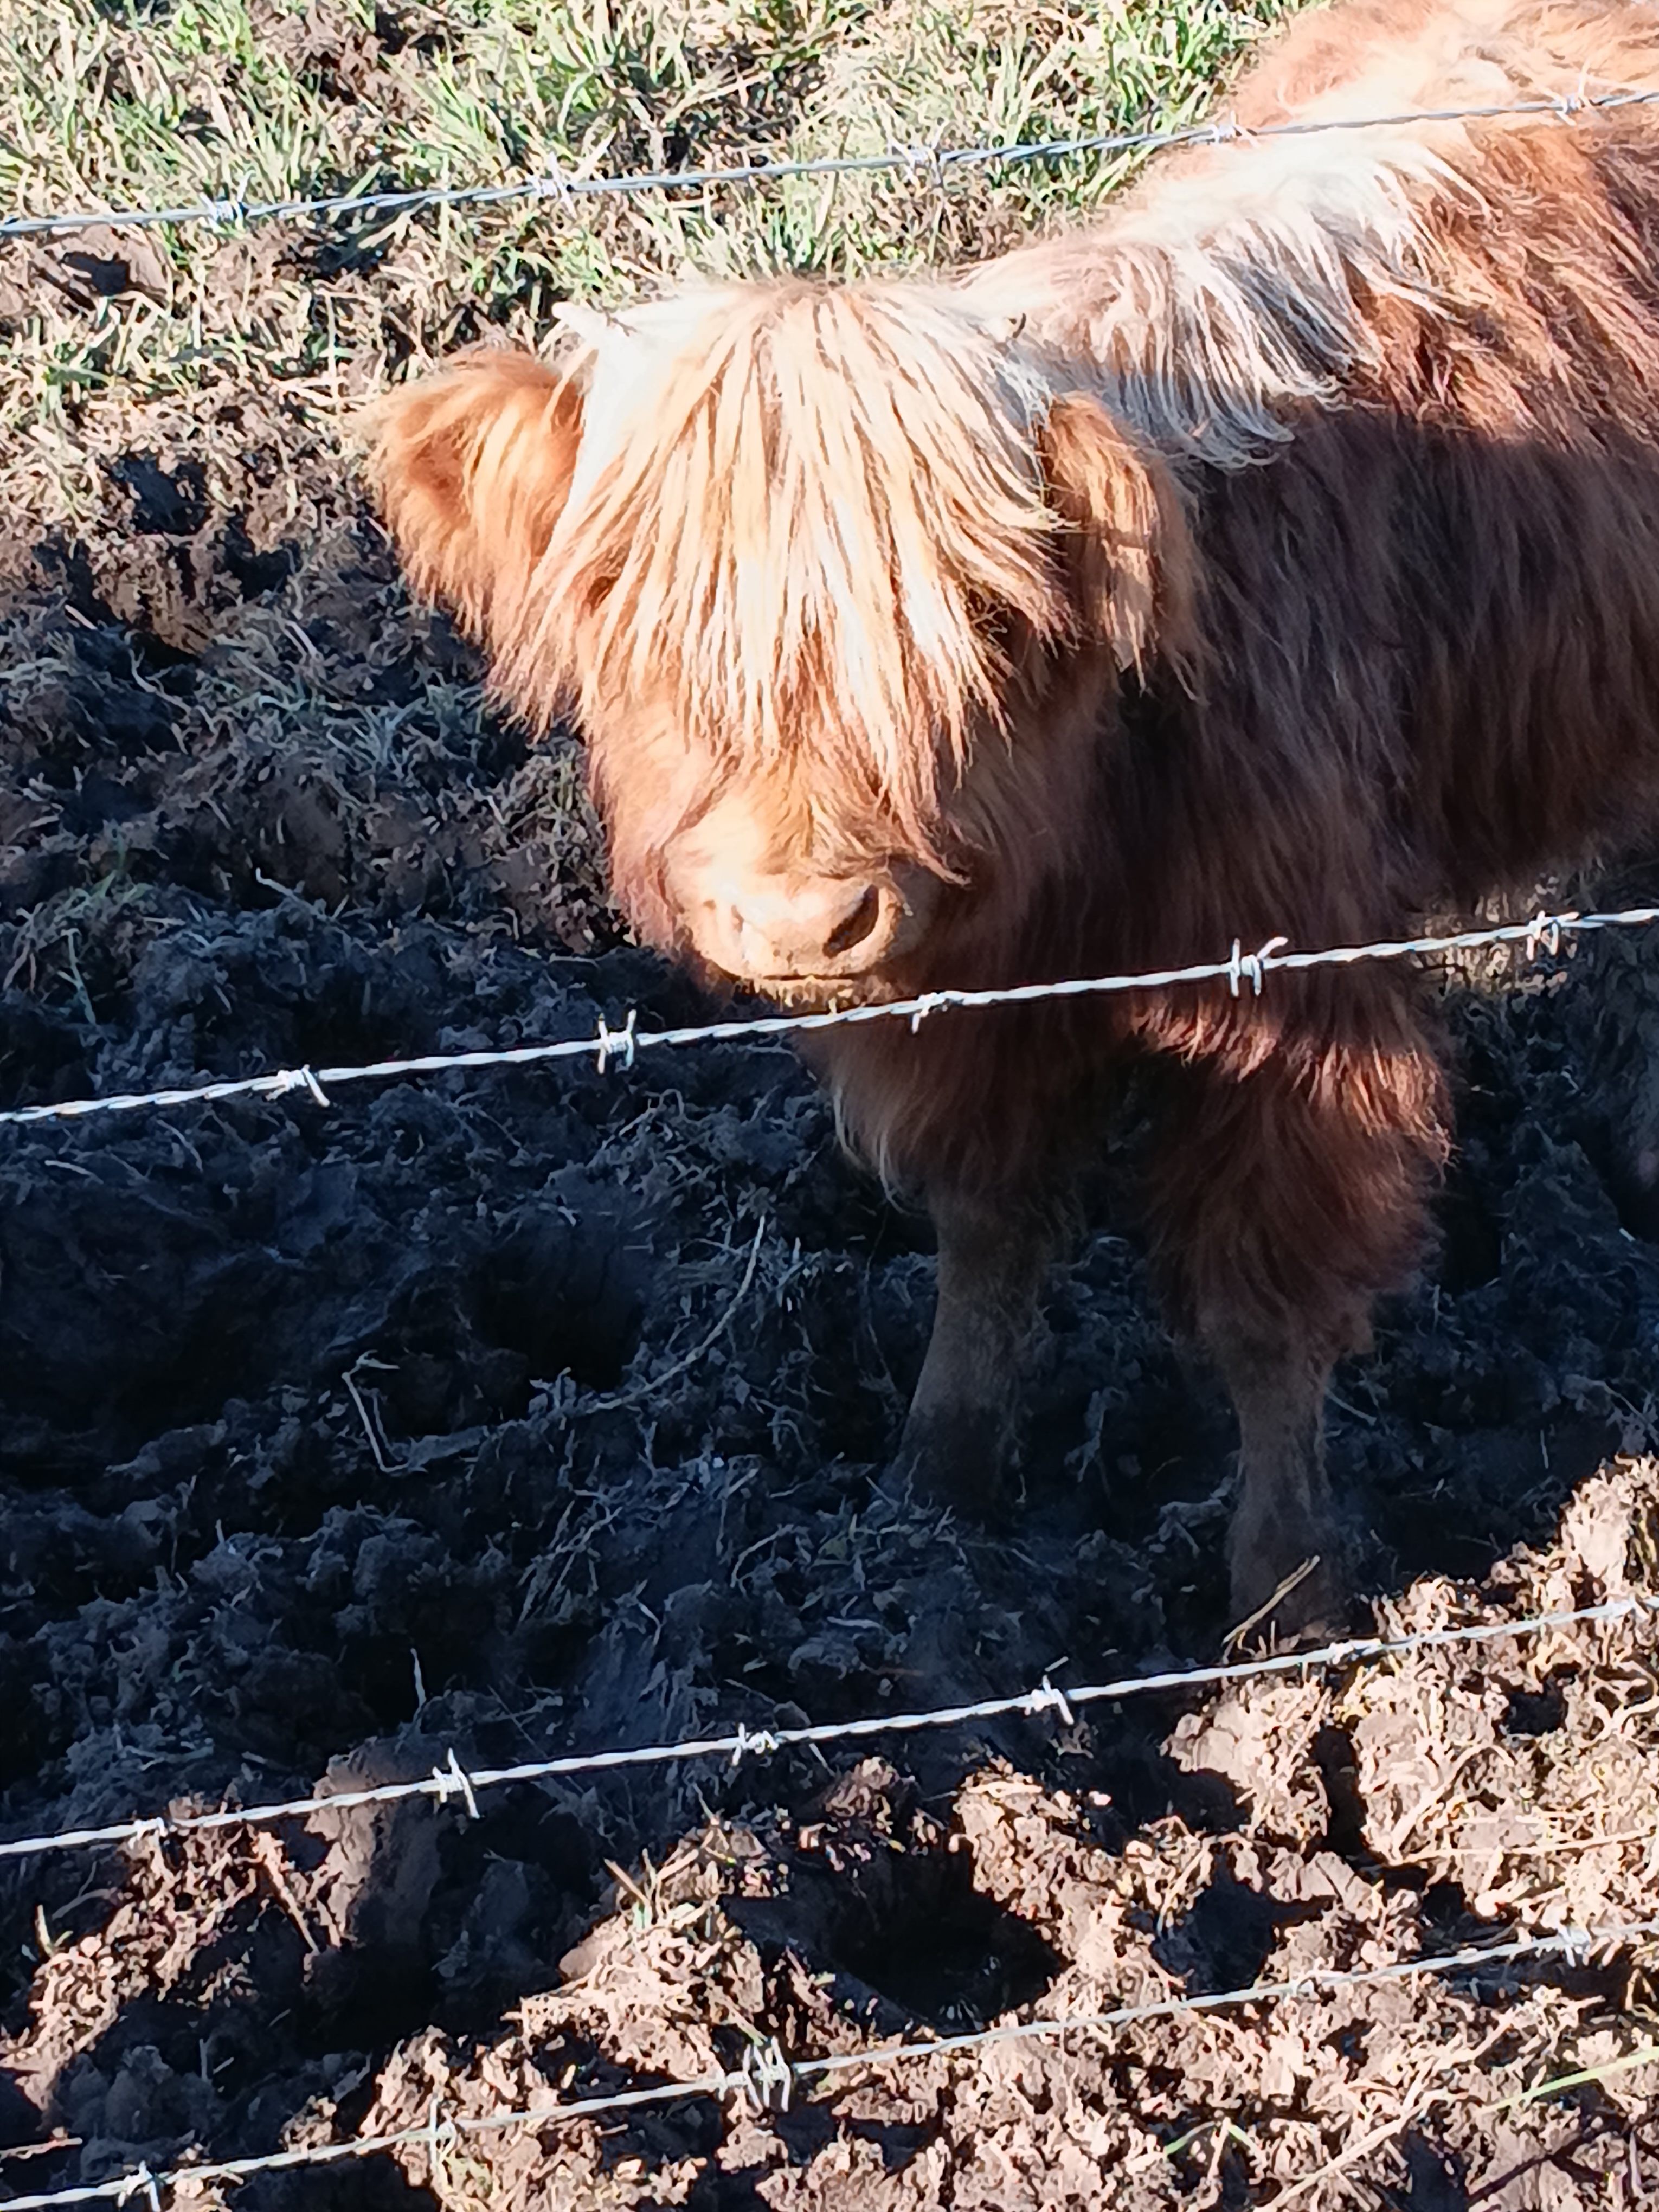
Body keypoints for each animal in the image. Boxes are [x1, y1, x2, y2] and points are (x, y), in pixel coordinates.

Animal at [364, 0, 1659, 1639]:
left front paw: (1286, 1597)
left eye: (978, 618)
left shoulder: (1301, 1008)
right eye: (619, 606)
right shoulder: (966, 1005)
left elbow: (1268, 1305)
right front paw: (939, 1481)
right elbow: (984, 1232)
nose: (799, 917)